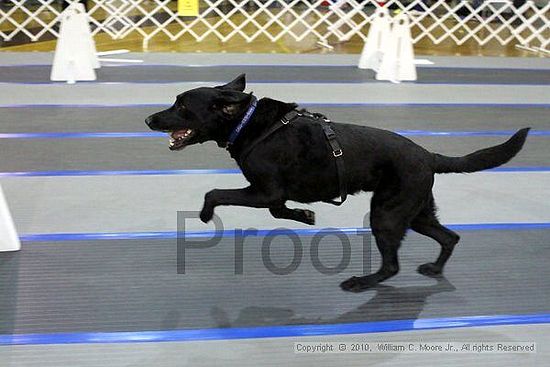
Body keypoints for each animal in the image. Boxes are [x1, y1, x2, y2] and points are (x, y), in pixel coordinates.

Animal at [146, 75, 532, 294]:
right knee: (450, 237)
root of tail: (429, 155)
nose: (148, 119)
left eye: (181, 105)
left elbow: (216, 193)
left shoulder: (265, 191)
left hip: (387, 214)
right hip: (416, 211)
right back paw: (434, 269)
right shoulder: (271, 194)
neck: (247, 123)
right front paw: (305, 216)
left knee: (392, 265)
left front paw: (205, 214)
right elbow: (279, 211)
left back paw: (360, 283)